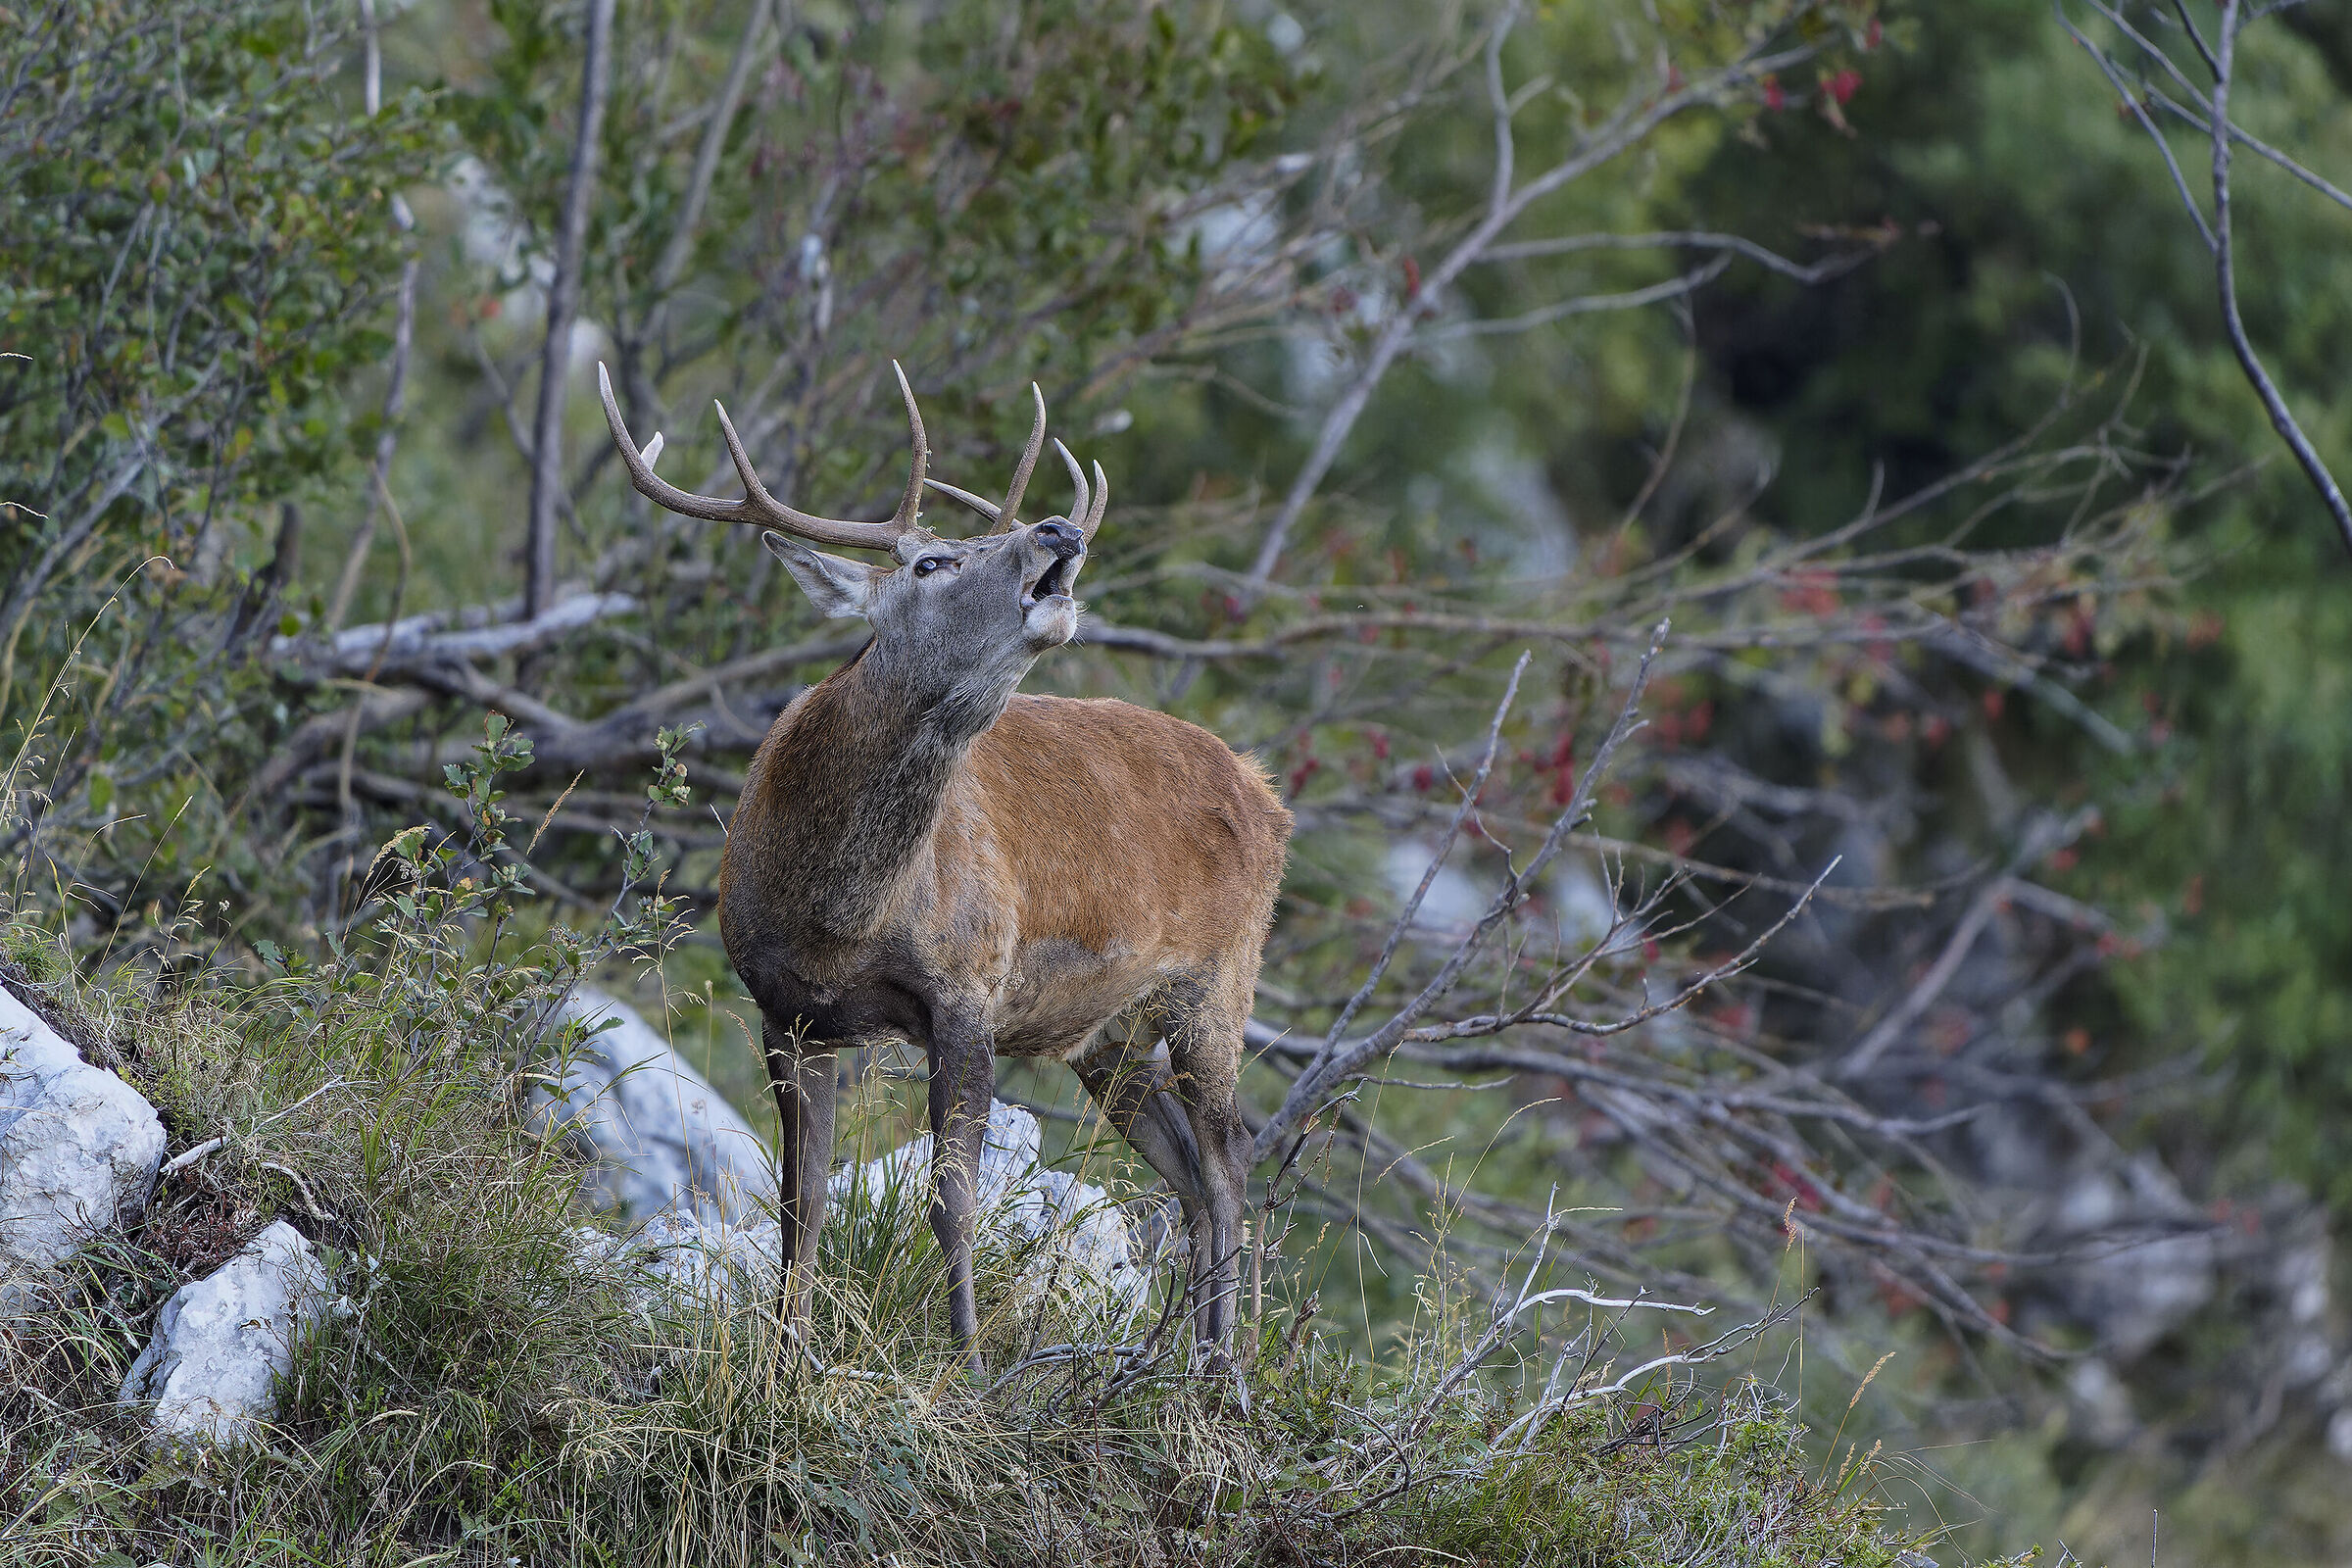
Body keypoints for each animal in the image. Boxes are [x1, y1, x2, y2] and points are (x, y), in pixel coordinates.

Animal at [596, 363, 1290, 1372]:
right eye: (931, 563)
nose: (1058, 530)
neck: (839, 914)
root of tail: (1265, 790)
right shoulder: (785, 1011)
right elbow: (802, 1202)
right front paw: (782, 1359)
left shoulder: (968, 987)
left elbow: (951, 1200)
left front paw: (963, 1366)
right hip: (1109, 1035)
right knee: (1193, 1175)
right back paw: (1178, 1364)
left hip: (1218, 978)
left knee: (1234, 1156)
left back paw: (1224, 1372)